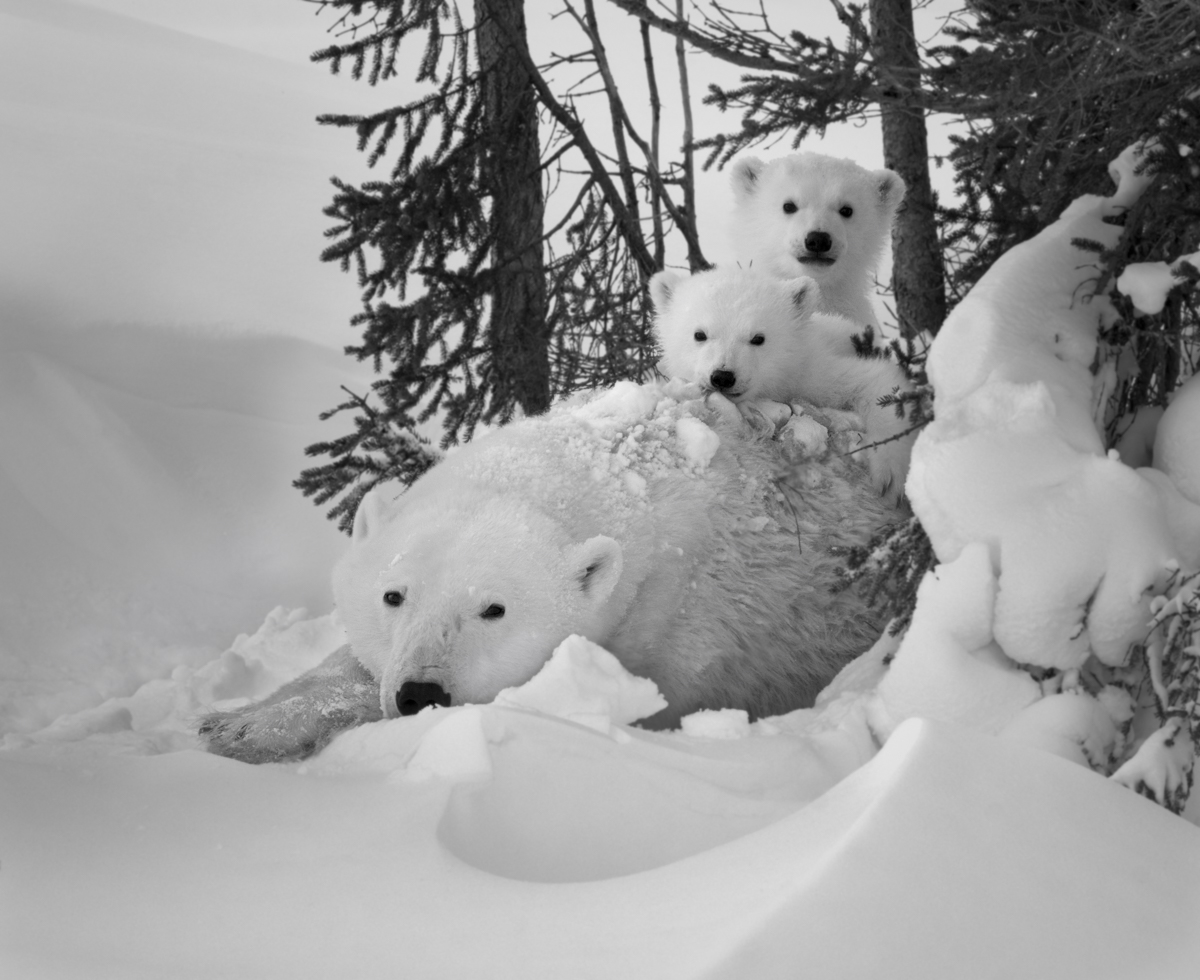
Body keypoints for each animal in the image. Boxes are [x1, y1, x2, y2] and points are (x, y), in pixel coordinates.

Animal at [650, 265, 915, 505]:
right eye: (700, 334)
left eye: (758, 338)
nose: (723, 376)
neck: (778, 380)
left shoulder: (812, 371)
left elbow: (876, 380)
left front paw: (889, 476)